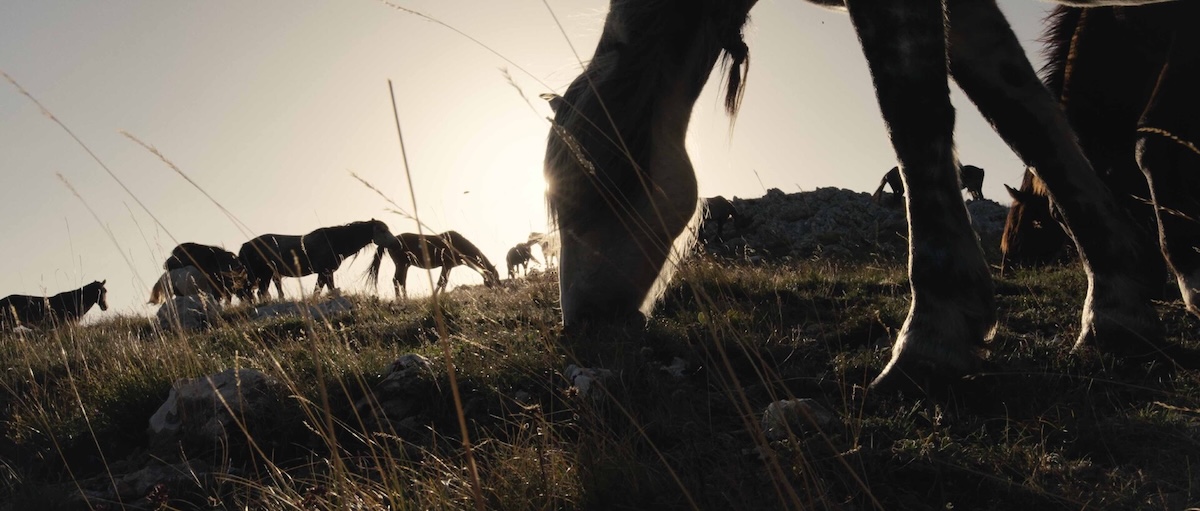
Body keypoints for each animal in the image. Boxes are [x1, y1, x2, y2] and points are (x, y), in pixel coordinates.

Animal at [239, 219, 397, 300]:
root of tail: (245, 246)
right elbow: (323, 290)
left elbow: (323, 290)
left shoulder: (326, 273)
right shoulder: (325, 271)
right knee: (259, 294)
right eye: (382, 230)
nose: (397, 244)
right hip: (264, 275)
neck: (334, 241)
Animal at [367, 231, 500, 299]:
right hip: (401, 264)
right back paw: (400, 300)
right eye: (494, 277)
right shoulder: (446, 265)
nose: (498, 289)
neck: (457, 245)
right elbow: (441, 281)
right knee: (396, 280)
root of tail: (391, 241)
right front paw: (436, 296)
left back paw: (404, 299)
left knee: (401, 280)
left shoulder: (448, 267)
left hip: (405, 265)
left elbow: (443, 281)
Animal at [544, 0, 1197, 391]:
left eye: (586, 193)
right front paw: (1116, 303)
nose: (581, 323)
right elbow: (1022, 109)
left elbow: (912, 107)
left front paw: (935, 331)